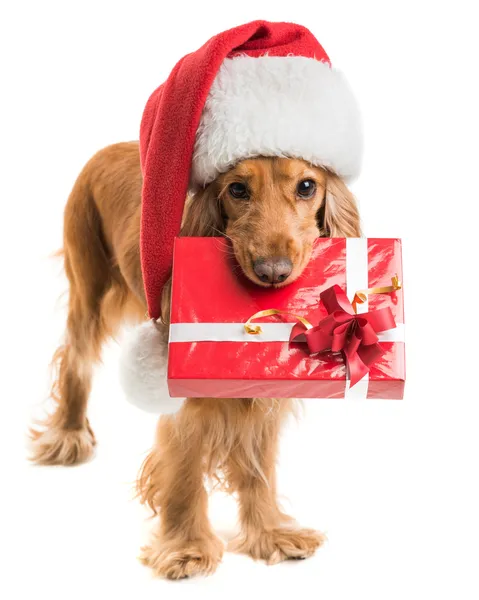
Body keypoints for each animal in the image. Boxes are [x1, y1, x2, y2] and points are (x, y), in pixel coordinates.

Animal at [29, 139, 360, 576]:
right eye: (237, 189)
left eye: (307, 186)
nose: (273, 271)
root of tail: (107, 148)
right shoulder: (181, 393)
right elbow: (184, 470)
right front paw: (185, 546)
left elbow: (259, 466)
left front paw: (270, 533)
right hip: (88, 284)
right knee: (75, 359)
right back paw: (68, 434)